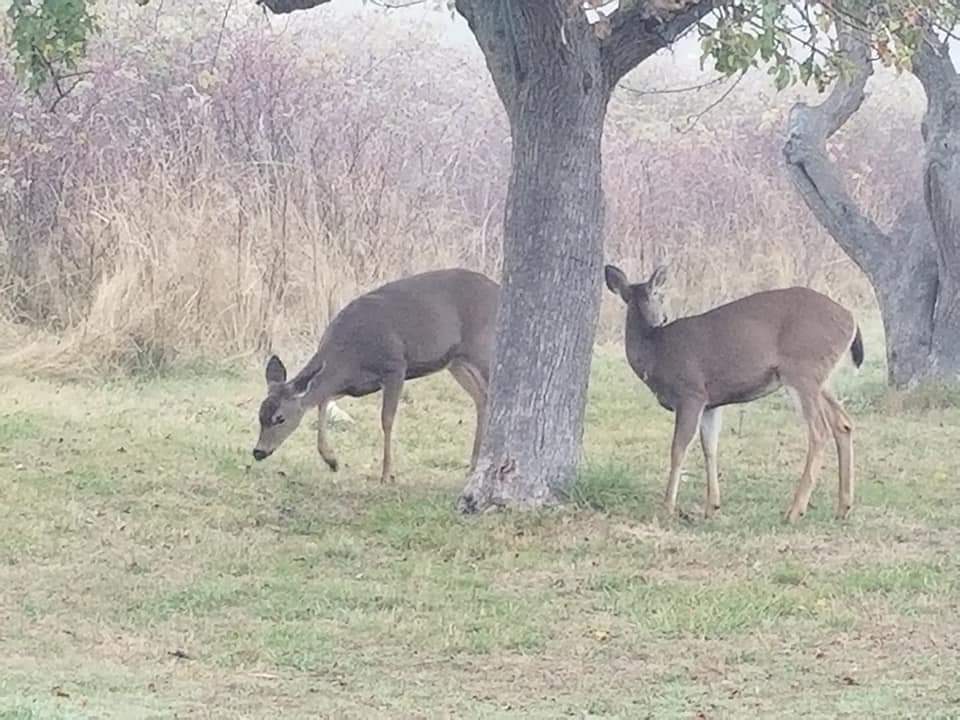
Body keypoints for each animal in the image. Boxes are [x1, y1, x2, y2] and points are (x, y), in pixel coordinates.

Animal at [251, 268, 498, 480]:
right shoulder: (352, 385)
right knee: (481, 398)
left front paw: (386, 474)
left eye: (280, 418)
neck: (349, 354)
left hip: (481, 348)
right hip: (457, 362)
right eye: (260, 415)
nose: (258, 451)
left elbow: (386, 420)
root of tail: (497, 288)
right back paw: (473, 464)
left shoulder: (395, 367)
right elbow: (323, 403)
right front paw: (332, 460)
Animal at [604, 264, 868, 524]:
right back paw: (843, 508)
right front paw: (712, 507)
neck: (656, 352)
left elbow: (678, 449)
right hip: (820, 378)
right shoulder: (711, 403)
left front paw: (667, 508)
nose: (661, 318)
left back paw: (794, 511)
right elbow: (710, 447)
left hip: (802, 370)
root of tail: (851, 319)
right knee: (843, 423)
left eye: (659, 294)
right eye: (635, 296)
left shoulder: (691, 392)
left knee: (819, 431)